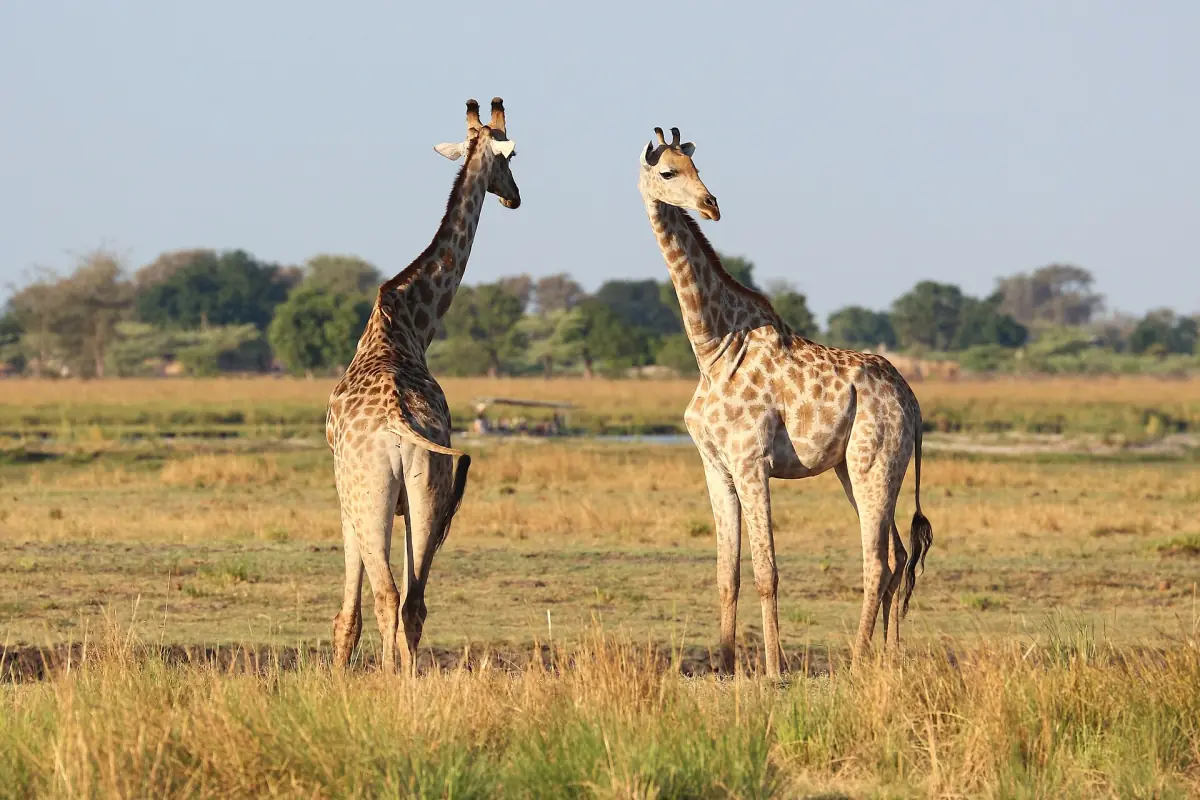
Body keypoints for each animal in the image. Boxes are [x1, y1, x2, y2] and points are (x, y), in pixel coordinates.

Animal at [325, 98, 519, 673]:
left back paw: (391, 679)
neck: (408, 322)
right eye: (508, 159)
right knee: (414, 601)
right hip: (426, 488)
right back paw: (408, 680)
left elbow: (347, 614)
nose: (515, 195)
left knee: (389, 596)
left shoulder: (346, 499)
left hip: (371, 495)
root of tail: (397, 426)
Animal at [637, 127, 933, 678]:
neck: (713, 349)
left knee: (878, 560)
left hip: (873, 464)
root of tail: (913, 402)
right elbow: (726, 571)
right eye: (668, 171)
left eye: (695, 167)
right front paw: (725, 666)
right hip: (855, 469)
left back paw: (857, 660)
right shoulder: (716, 467)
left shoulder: (753, 462)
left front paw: (775, 668)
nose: (711, 205)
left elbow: (766, 569)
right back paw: (887, 659)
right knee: (900, 556)